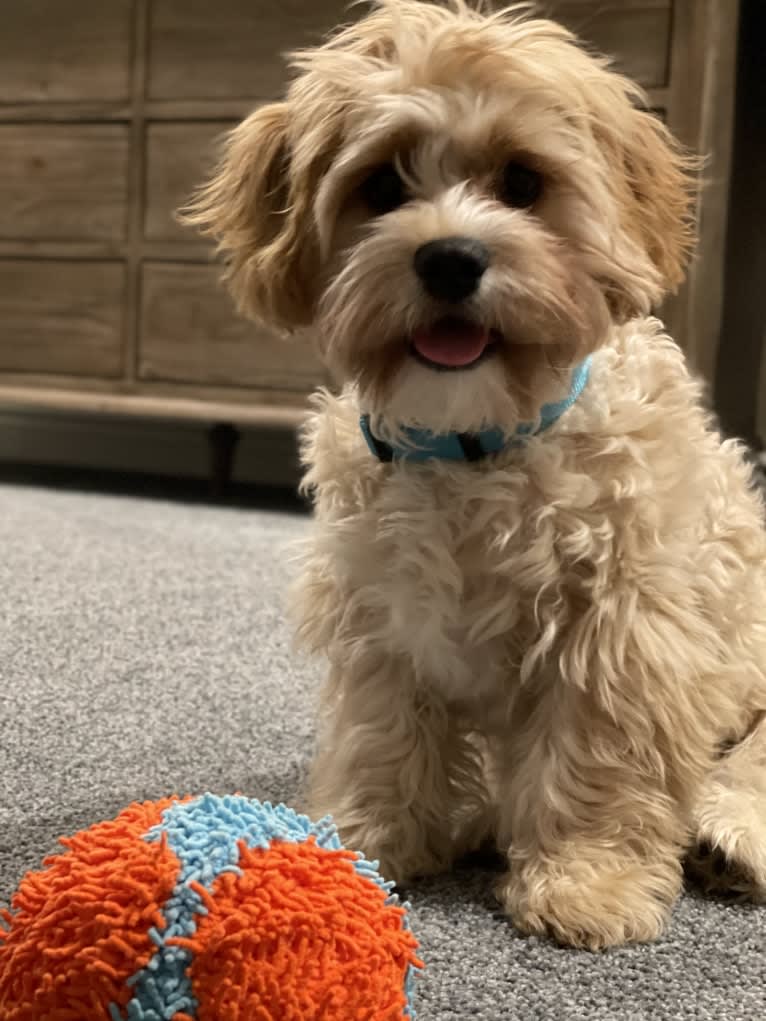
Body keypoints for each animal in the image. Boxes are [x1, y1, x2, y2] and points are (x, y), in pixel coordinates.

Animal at [182, 0, 766, 947]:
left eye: (523, 182)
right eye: (382, 186)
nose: (450, 258)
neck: (475, 440)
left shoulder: (622, 627)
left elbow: (599, 760)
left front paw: (587, 881)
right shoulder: (380, 616)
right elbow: (383, 736)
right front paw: (369, 838)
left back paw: (730, 838)